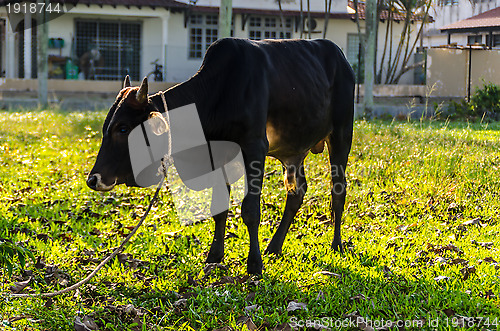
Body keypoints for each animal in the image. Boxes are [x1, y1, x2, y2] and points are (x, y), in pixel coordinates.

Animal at [89, 37, 356, 276]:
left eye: (123, 129)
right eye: (106, 127)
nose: (93, 179)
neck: (218, 94)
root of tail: (341, 57)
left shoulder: (254, 148)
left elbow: (250, 210)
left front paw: (254, 265)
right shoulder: (217, 156)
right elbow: (219, 209)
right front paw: (214, 257)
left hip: (341, 135)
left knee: (338, 192)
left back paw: (336, 245)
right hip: (294, 152)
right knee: (297, 192)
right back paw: (274, 247)